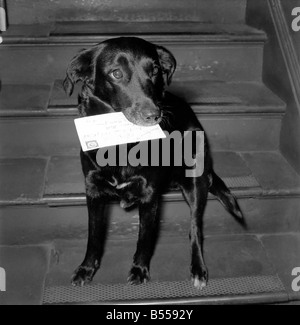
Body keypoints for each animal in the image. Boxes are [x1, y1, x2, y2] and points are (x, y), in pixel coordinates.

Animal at [63, 37, 244, 288]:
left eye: (156, 70)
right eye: (116, 73)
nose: (154, 115)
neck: (123, 141)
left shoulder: (150, 195)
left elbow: (145, 239)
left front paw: (139, 269)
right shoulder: (93, 190)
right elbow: (94, 235)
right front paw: (87, 268)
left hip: (194, 179)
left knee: (195, 227)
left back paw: (198, 268)